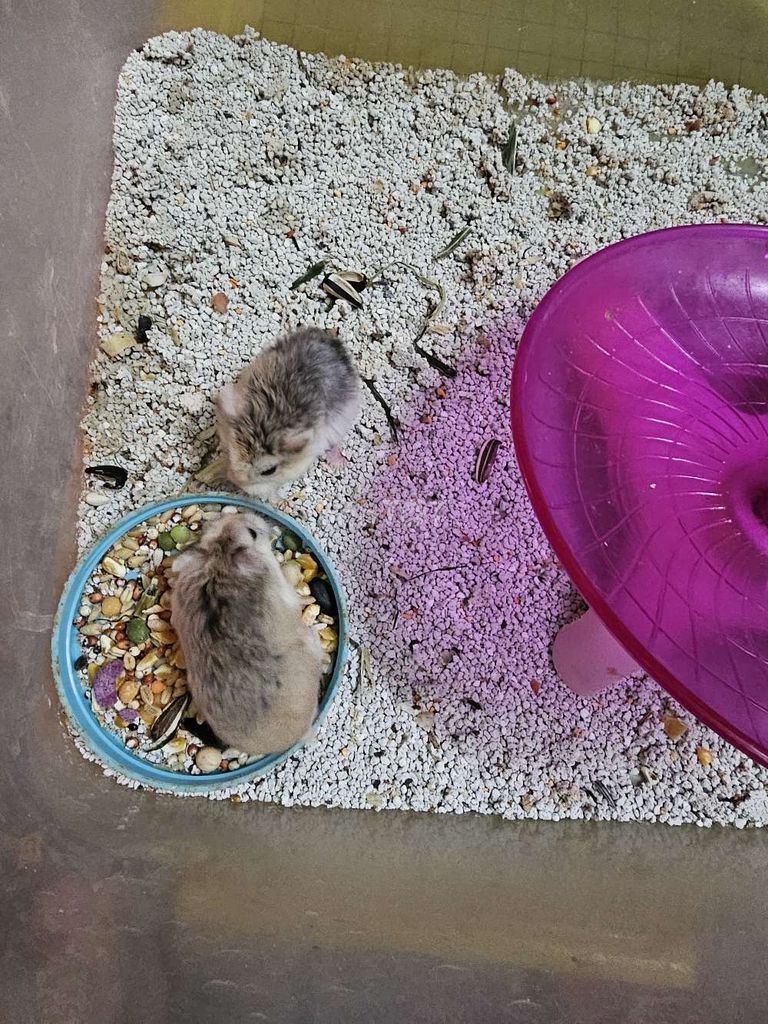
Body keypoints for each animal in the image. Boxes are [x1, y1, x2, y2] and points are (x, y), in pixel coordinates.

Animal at [215, 326, 361, 498]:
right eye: (230, 453)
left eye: (269, 471)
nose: (236, 482)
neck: (269, 418)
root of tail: (334, 343)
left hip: (344, 416)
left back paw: (337, 463)